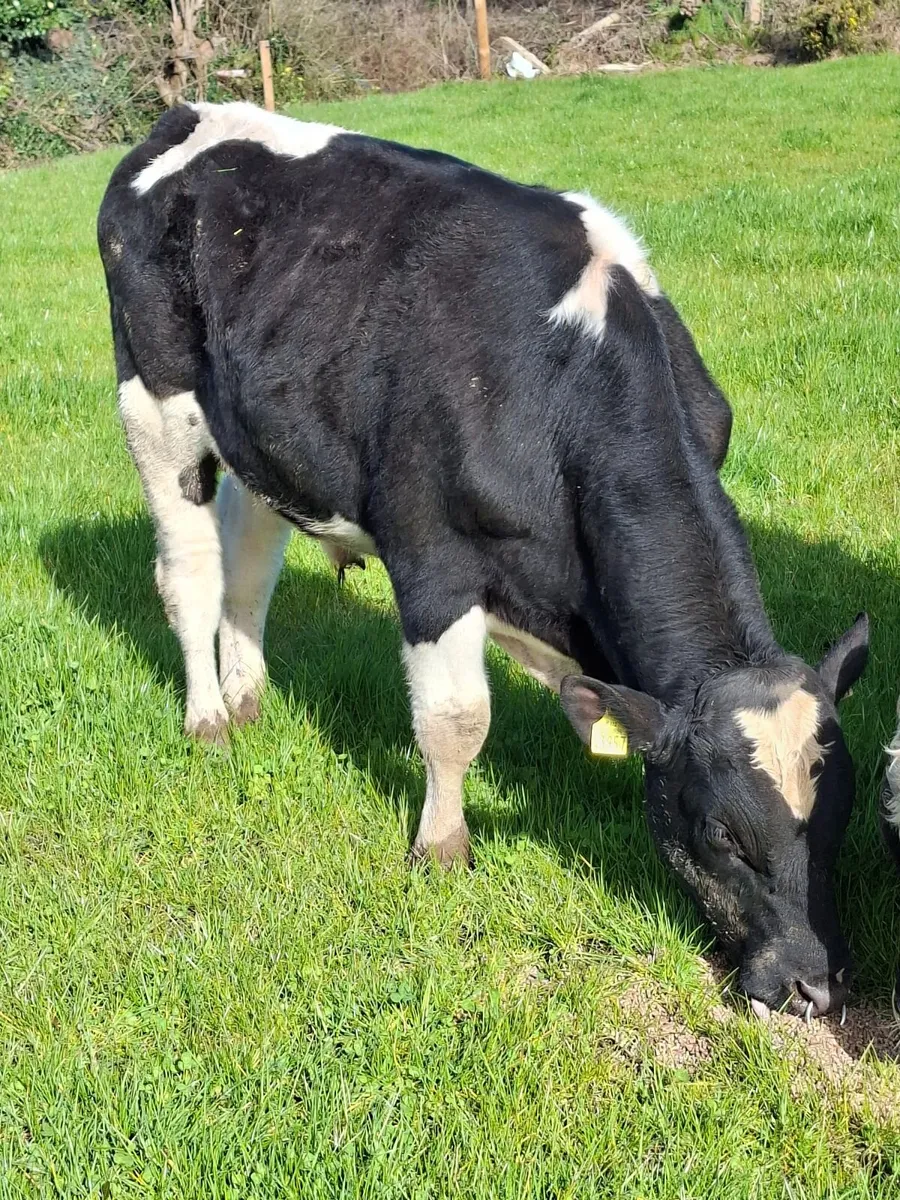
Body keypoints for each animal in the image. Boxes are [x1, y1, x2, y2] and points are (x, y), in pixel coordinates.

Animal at [97, 101, 869, 1020]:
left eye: (844, 810)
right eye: (720, 830)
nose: (811, 985)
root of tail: (194, 112)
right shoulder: (431, 556)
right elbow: (456, 719)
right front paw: (441, 850)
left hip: (264, 439)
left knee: (250, 568)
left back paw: (248, 698)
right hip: (154, 404)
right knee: (191, 575)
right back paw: (209, 718)